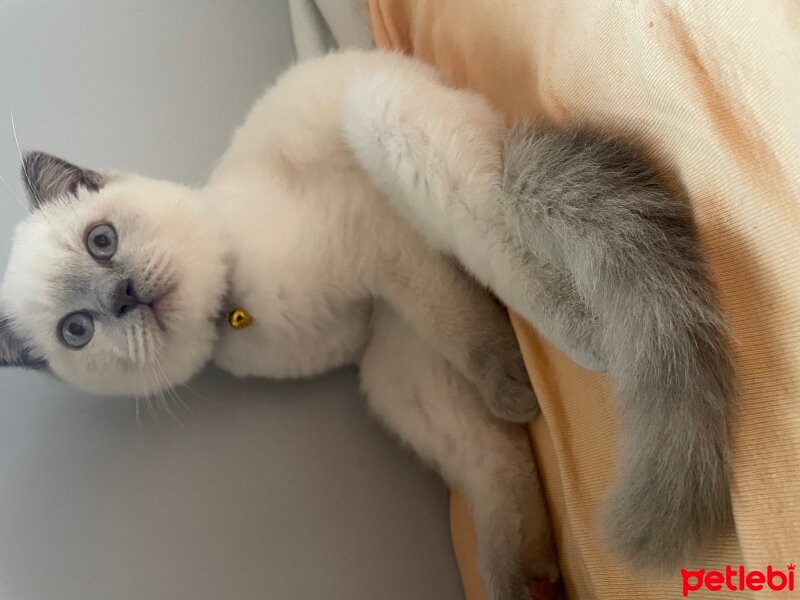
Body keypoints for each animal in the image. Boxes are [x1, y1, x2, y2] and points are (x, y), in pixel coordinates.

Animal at [1, 51, 556, 600]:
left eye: (101, 240)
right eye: (77, 330)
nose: (123, 297)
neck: (230, 311)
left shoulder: (384, 250)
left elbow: (462, 329)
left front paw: (515, 388)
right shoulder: (395, 337)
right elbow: (494, 453)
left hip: (382, 115)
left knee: (507, 247)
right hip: (391, 379)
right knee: (497, 473)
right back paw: (529, 577)